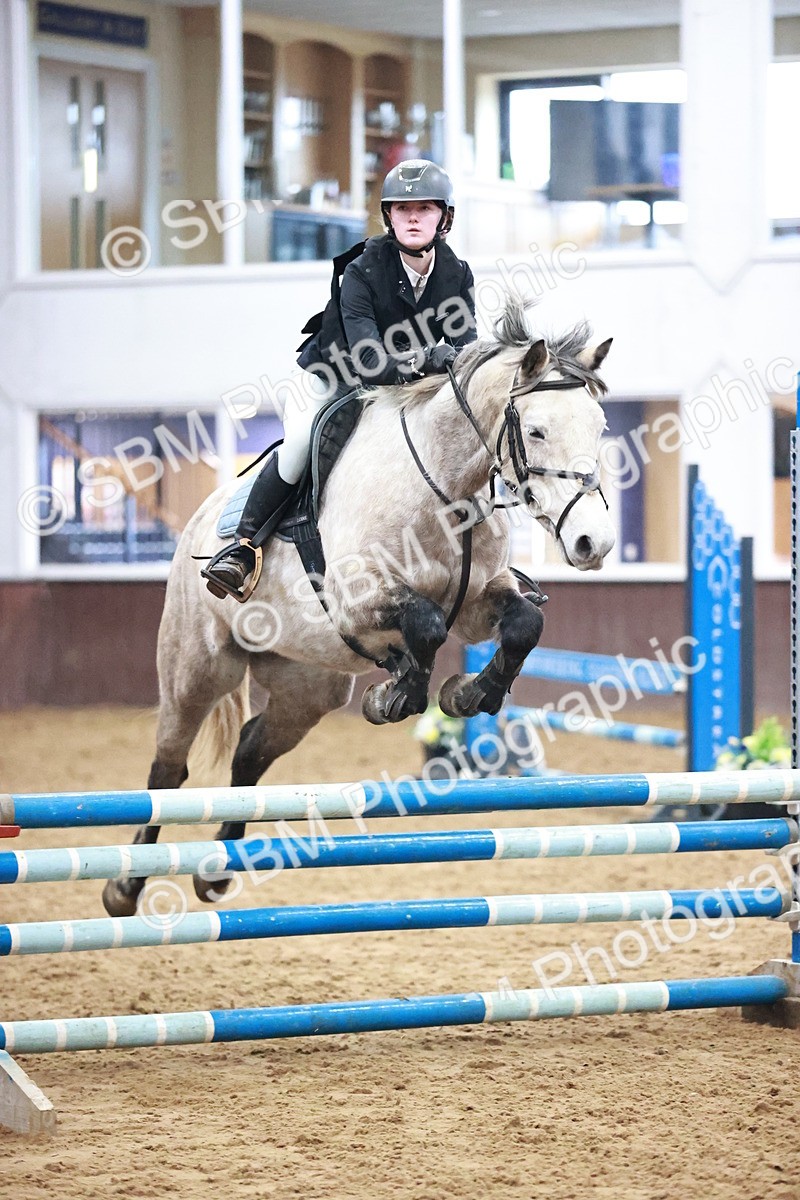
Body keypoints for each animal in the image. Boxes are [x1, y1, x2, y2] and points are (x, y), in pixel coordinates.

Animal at [101, 295, 615, 917]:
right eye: (536, 431)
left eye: (600, 427)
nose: (594, 543)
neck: (445, 486)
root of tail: (201, 519)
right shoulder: (357, 598)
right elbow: (424, 625)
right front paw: (398, 694)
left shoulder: (475, 602)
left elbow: (524, 624)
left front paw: (468, 693)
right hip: (197, 668)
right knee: (167, 769)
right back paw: (125, 887)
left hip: (309, 687)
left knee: (249, 752)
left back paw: (218, 874)